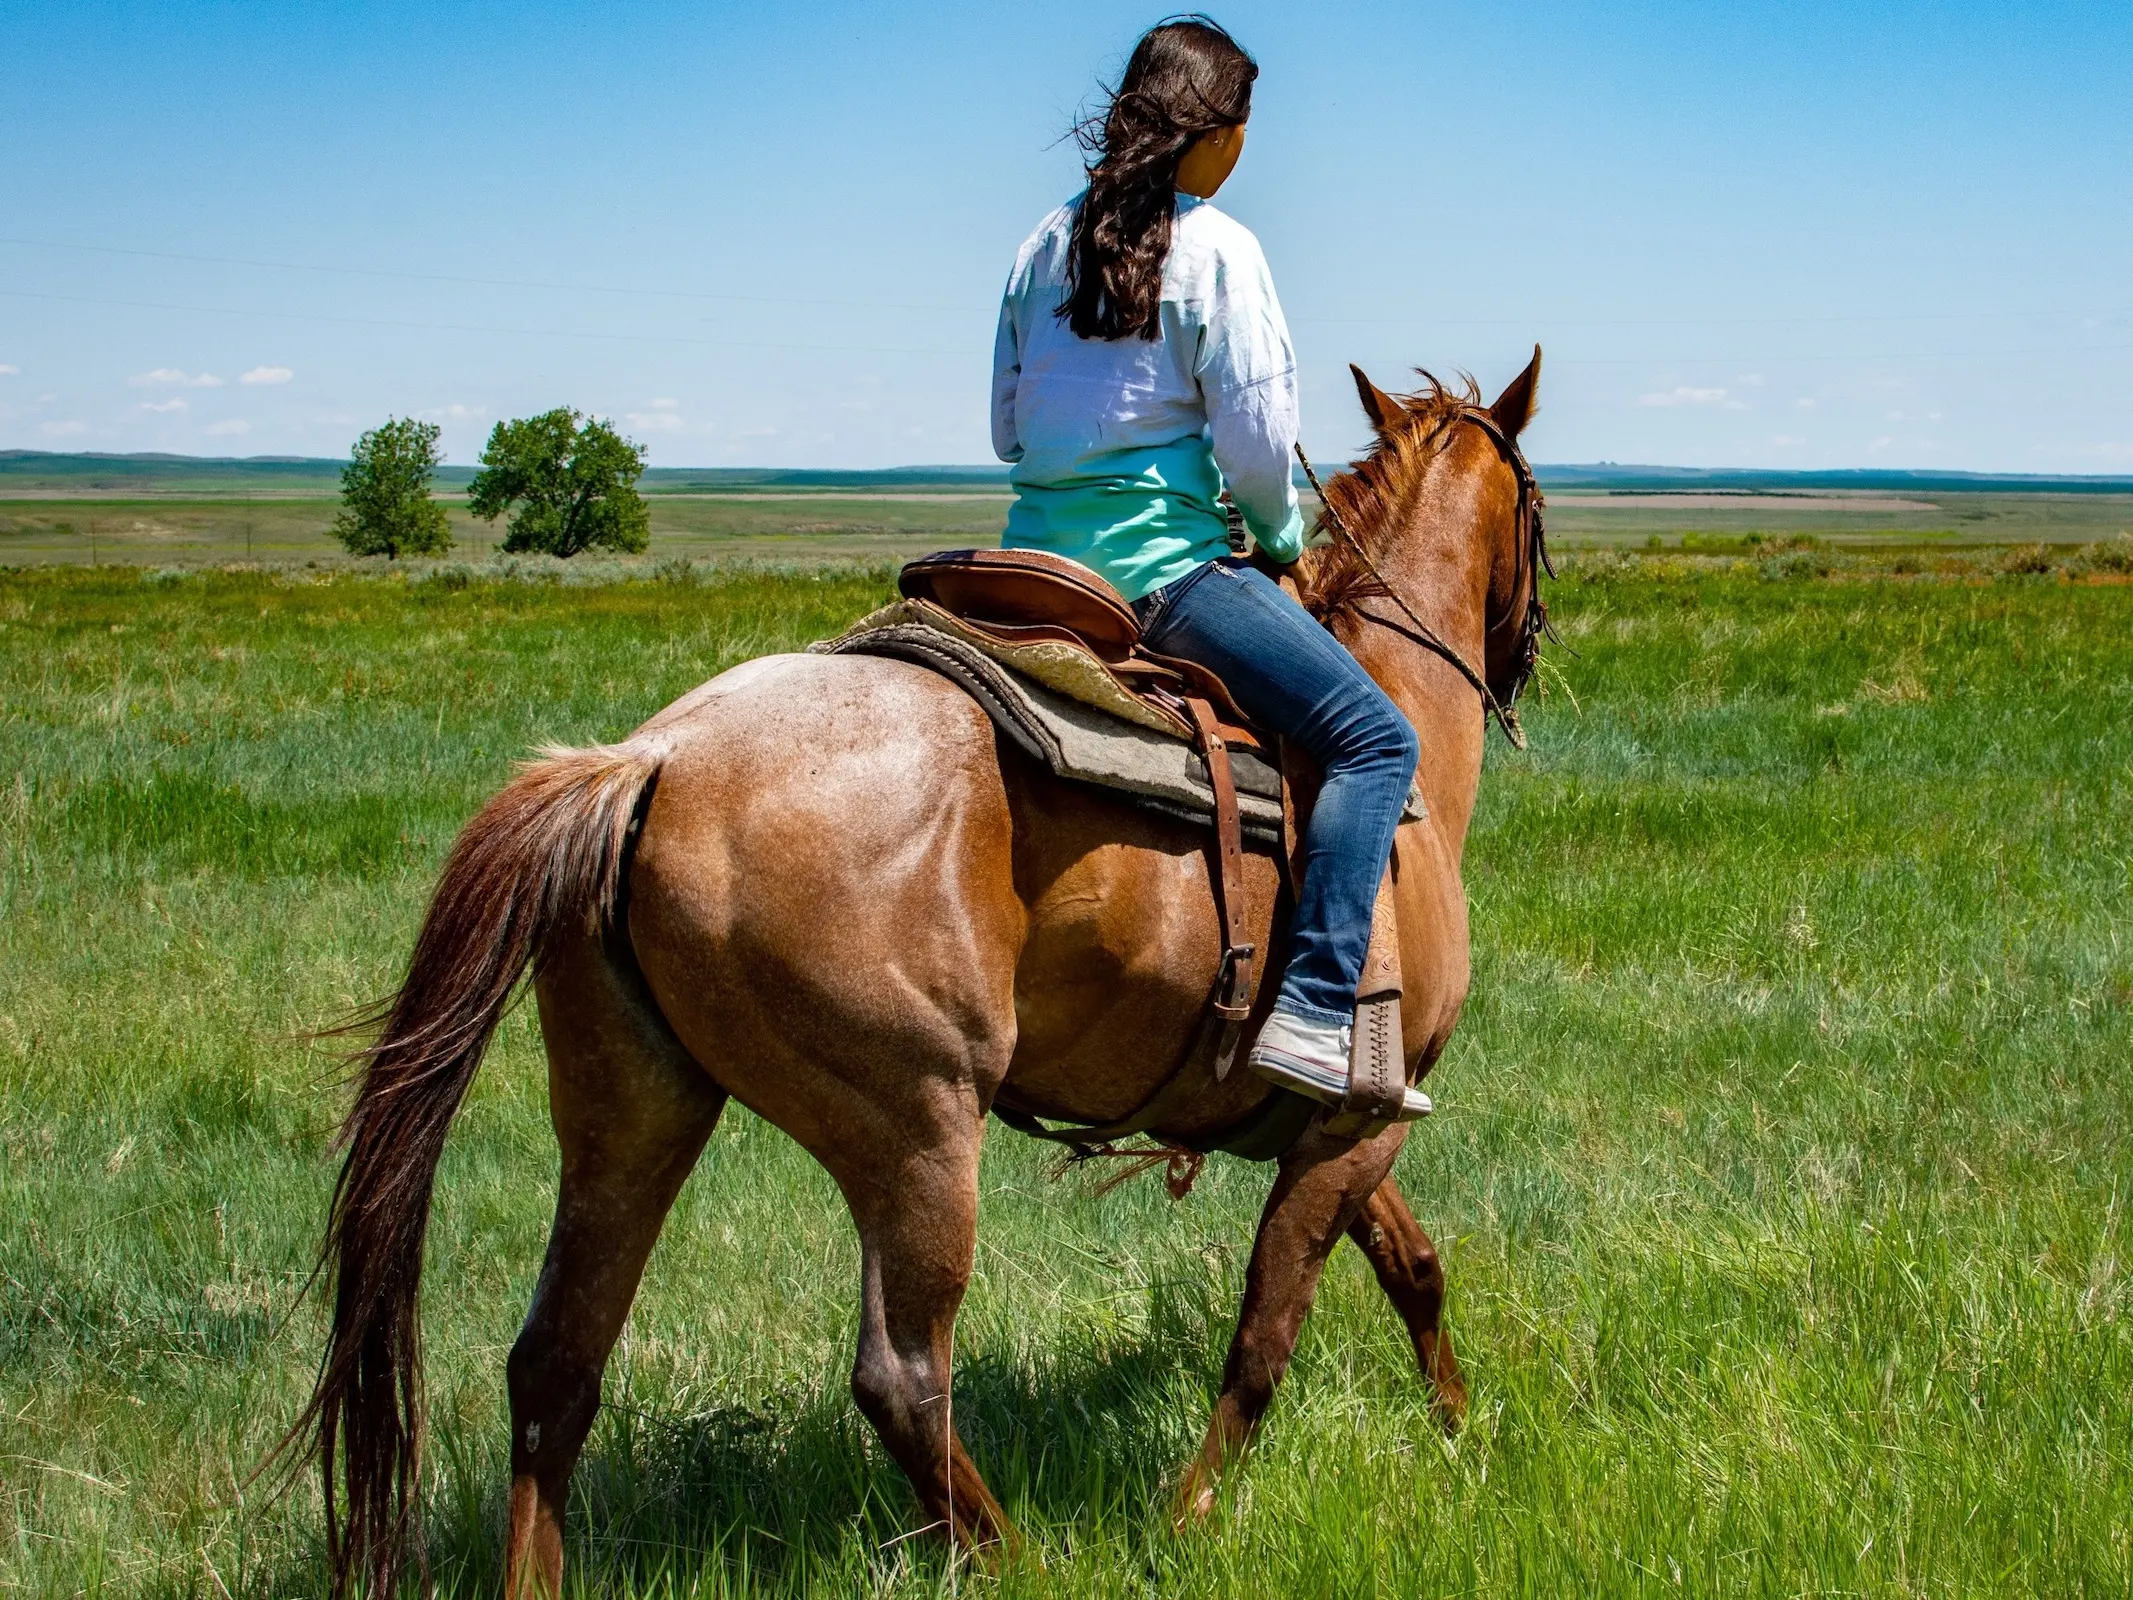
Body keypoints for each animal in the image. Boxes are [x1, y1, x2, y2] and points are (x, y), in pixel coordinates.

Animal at [287, 354, 1552, 1600]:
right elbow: (1268, 1331)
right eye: (1537, 511)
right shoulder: (1357, 1123)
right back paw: (1020, 1563)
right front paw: (1188, 1519)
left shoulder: (1327, 1123)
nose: (1529, 652)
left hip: (631, 1111)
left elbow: (1412, 1267)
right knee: (899, 1375)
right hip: (918, 1131)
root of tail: (648, 761)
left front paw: (1460, 1429)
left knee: (557, 1365)